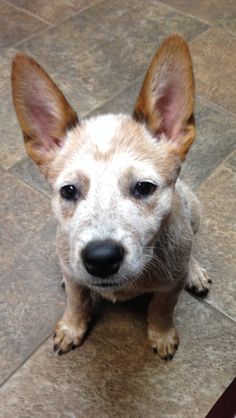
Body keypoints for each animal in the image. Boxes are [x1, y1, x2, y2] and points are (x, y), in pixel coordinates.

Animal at [11, 33, 211, 360]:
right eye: (69, 190)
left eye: (144, 187)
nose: (101, 258)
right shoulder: (75, 276)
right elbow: (77, 300)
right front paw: (72, 327)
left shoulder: (170, 287)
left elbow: (161, 308)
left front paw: (162, 335)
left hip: (193, 209)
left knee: (191, 243)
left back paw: (194, 271)